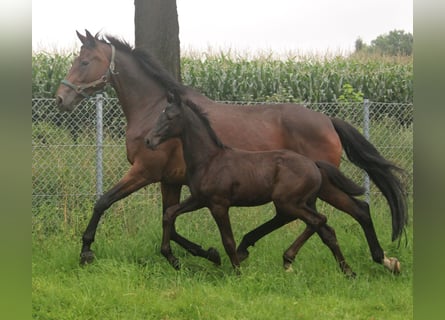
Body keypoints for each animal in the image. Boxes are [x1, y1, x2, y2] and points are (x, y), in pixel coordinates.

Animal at [144, 95, 366, 276]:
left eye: (170, 117)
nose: (148, 141)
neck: (209, 160)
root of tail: (314, 164)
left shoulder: (219, 204)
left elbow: (228, 240)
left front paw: (237, 272)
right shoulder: (199, 199)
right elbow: (169, 213)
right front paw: (172, 259)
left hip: (288, 202)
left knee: (319, 220)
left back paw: (294, 260)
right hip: (298, 202)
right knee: (324, 227)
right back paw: (347, 271)